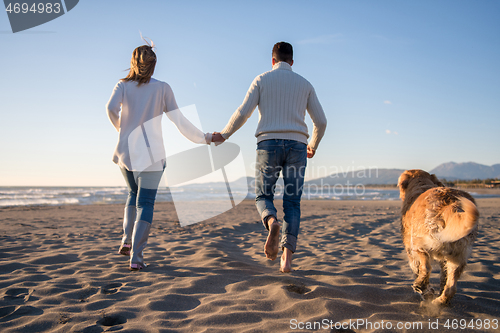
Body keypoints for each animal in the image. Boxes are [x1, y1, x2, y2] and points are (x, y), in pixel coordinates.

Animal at [398, 170, 476, 304]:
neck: (420, 184)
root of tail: (452, 204)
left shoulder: (410, 249)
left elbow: (417, 269)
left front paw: (426, 291)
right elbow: (444, 278)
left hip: (419, 244)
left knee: (426, 267)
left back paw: (421, 286)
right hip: (458, 257)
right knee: (451, 288)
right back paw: (438, 302)